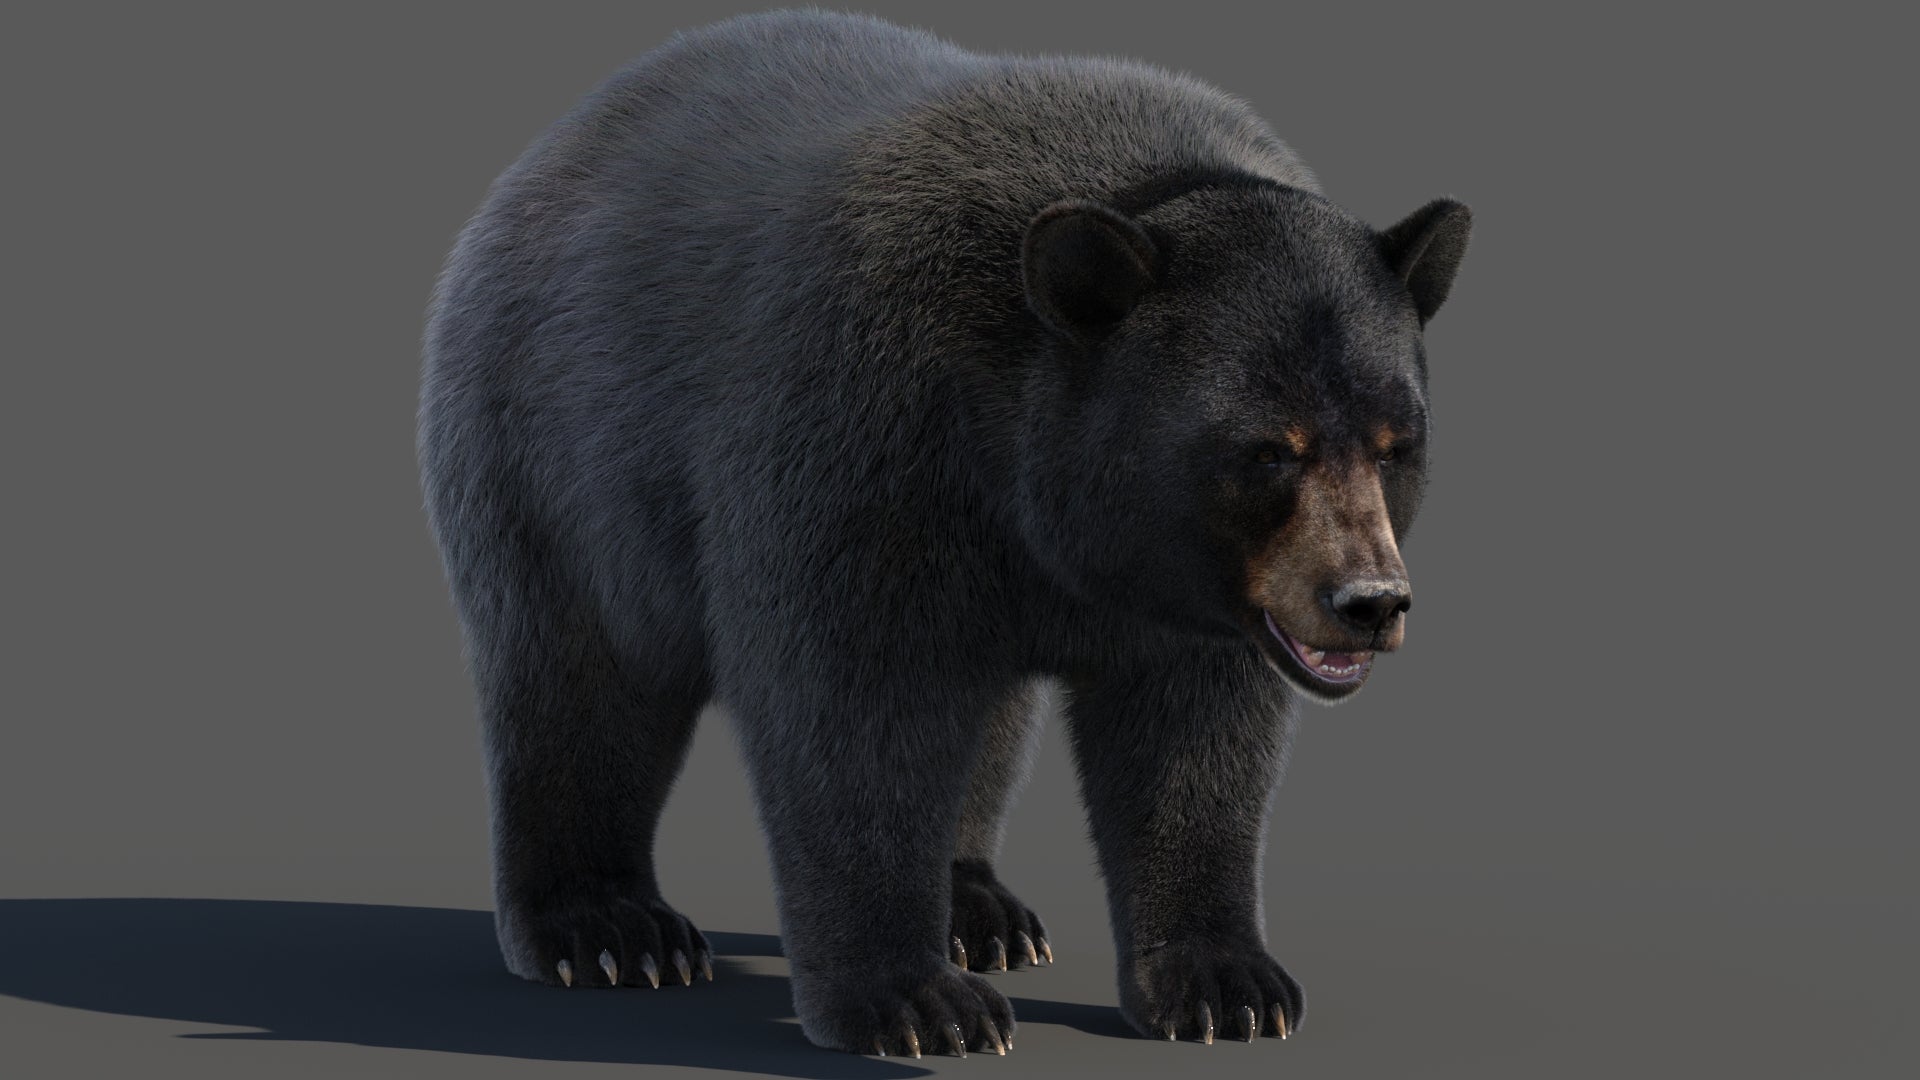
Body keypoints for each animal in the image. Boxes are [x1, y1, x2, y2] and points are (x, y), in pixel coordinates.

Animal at [418, 8, 1470, 1057]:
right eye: (1269, 451)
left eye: (1395, 444)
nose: (1370, 602)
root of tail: (548, 149)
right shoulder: (863, 428)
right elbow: (853, 702)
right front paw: (912, 1002)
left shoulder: (1194, 595)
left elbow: (1194, 738)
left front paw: (1226, 982)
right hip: (550, 454)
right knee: (576, 683)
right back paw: (608, 929)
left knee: (987, 718)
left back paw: (978, 909)